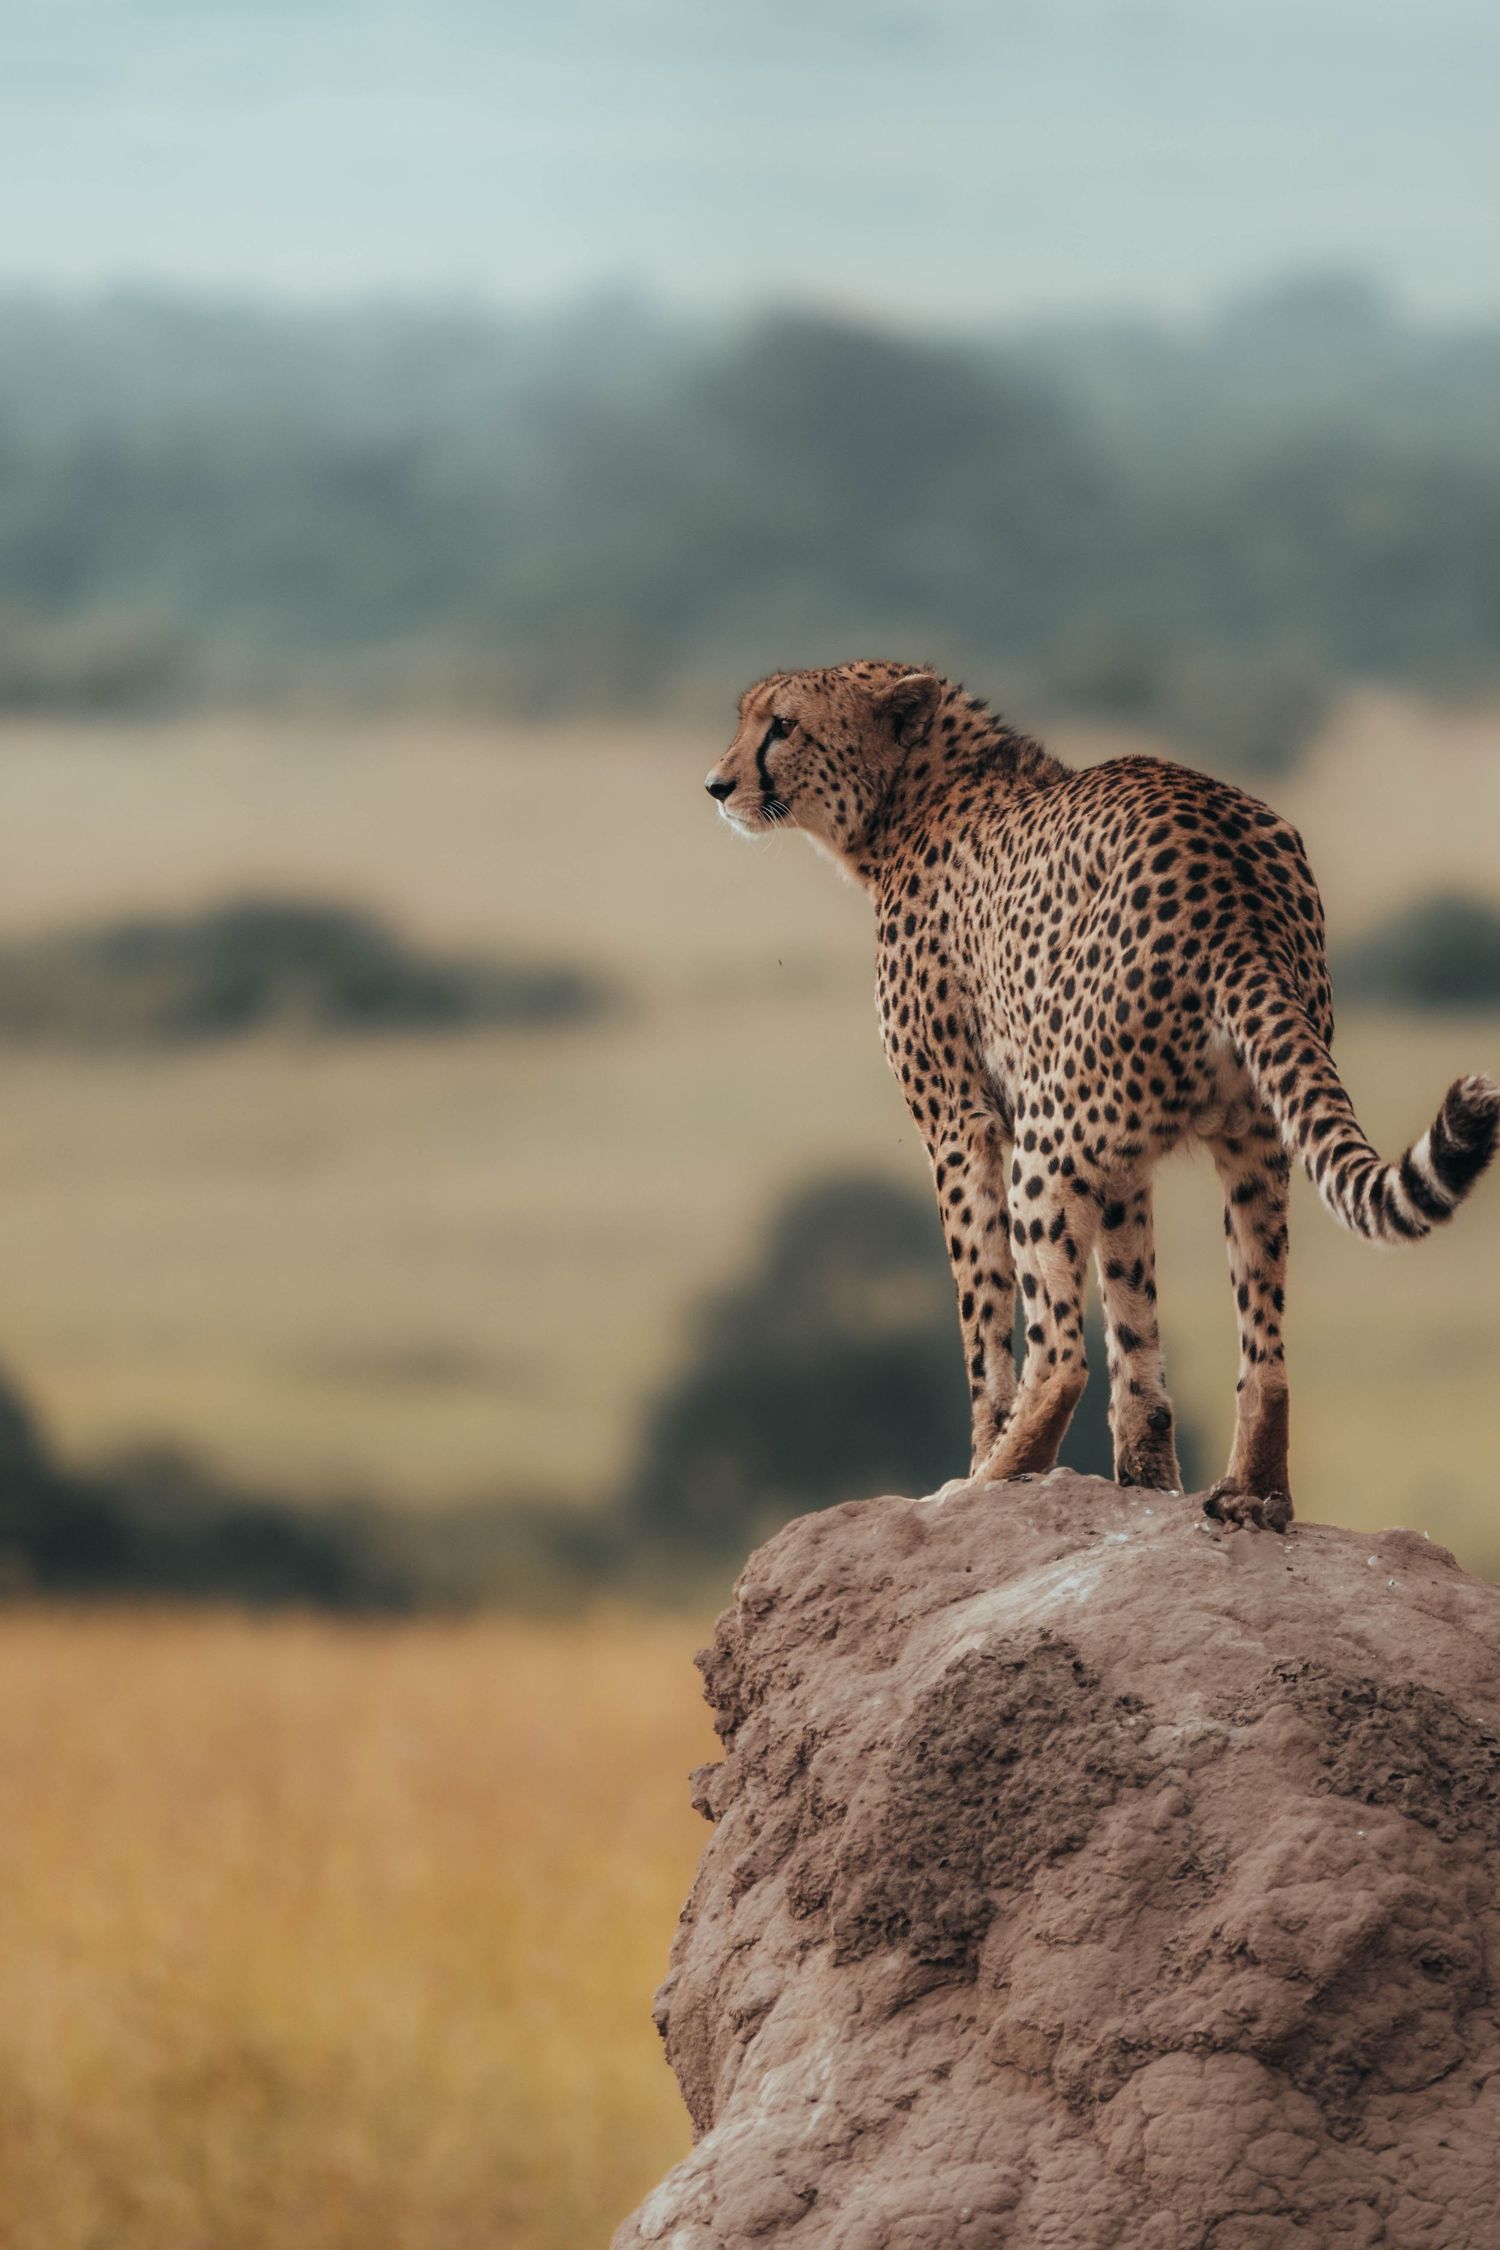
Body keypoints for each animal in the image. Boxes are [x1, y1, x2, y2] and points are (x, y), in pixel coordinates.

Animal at [703, 659, 1499, 1531]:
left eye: (782, 725)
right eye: (749, 718)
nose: (717, 785)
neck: (914, 793)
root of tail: (1228, 876)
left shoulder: (959, 1121)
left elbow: (983, 1312)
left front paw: (989, 1451)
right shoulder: (1122, 1159)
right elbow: (1133, 1308)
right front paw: (1146, 1478)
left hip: (1045, 1149)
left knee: (1061, 1355)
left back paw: (988, 1482)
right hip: (1254, 1138)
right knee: (1265, 1343)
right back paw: (1255, 1495)